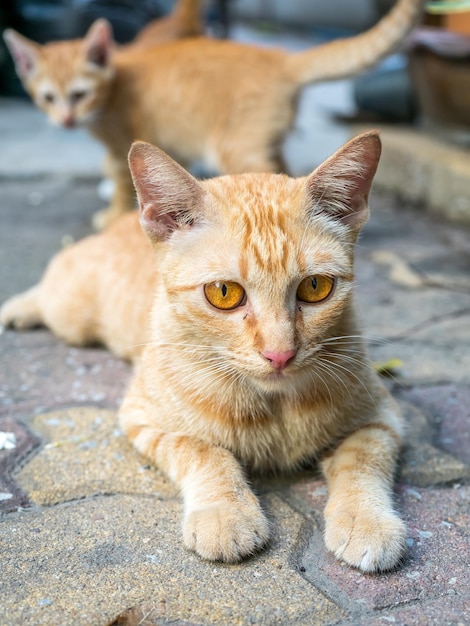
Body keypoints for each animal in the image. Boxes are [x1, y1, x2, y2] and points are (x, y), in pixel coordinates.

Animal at [0, 132, 408, 572]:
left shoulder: (382, 415)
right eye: (223, 293)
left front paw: (366, 519)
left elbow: (363, 458)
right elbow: (204, 451)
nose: (279, 354)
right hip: (70, 314)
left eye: (316, 287)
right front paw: (226, 514)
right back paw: (18, 308)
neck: (275, 406)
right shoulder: (144, 419)